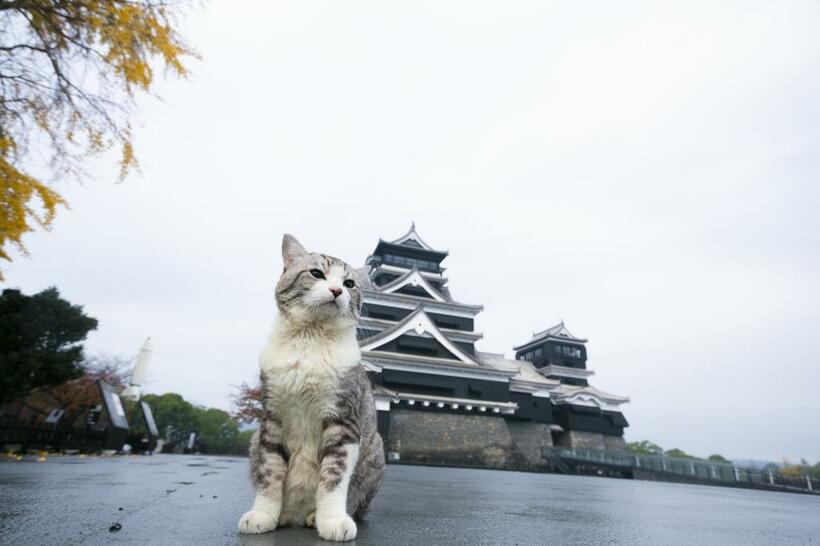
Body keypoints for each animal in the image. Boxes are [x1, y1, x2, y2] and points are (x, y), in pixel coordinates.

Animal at [237, 233, 384, 540]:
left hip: (375, 449)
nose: (337, 290)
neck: (310, 337)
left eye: (349, 283)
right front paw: (263, 515)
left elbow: (334, 476)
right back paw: (284, 516)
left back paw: (313, 516)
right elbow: (269, 473)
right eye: (316, 273)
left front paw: (332, 520)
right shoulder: (273, 418)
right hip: (254, 439)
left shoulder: (343, 420)